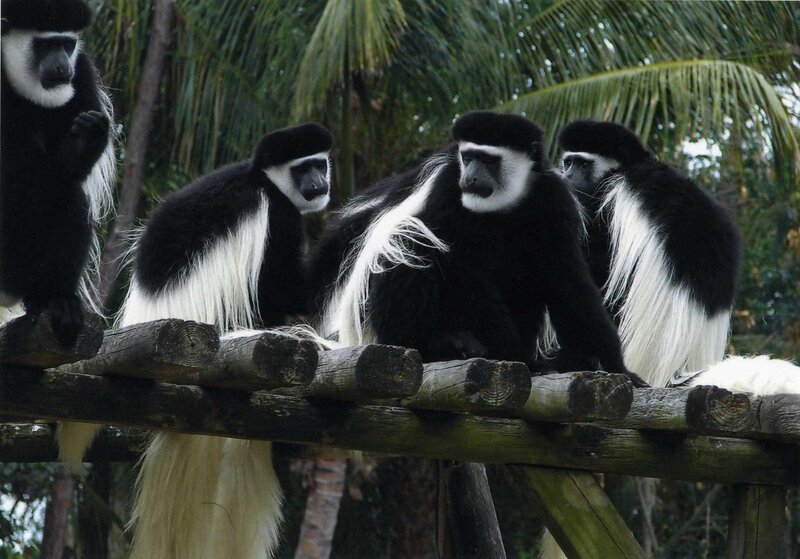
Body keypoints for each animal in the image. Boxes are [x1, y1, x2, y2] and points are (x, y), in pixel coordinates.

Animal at [0, 0, 116, 345]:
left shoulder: (83, 74)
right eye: (44, 45)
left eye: (67, 45)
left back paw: (55, 300)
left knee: (71, 197)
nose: (62, 68)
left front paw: (84, 140)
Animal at [57, 123, 333, 559]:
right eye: (303, 168)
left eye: (320, 164)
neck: (261, 179)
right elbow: (281, 288)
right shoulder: (277, 217)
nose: (319, 184)